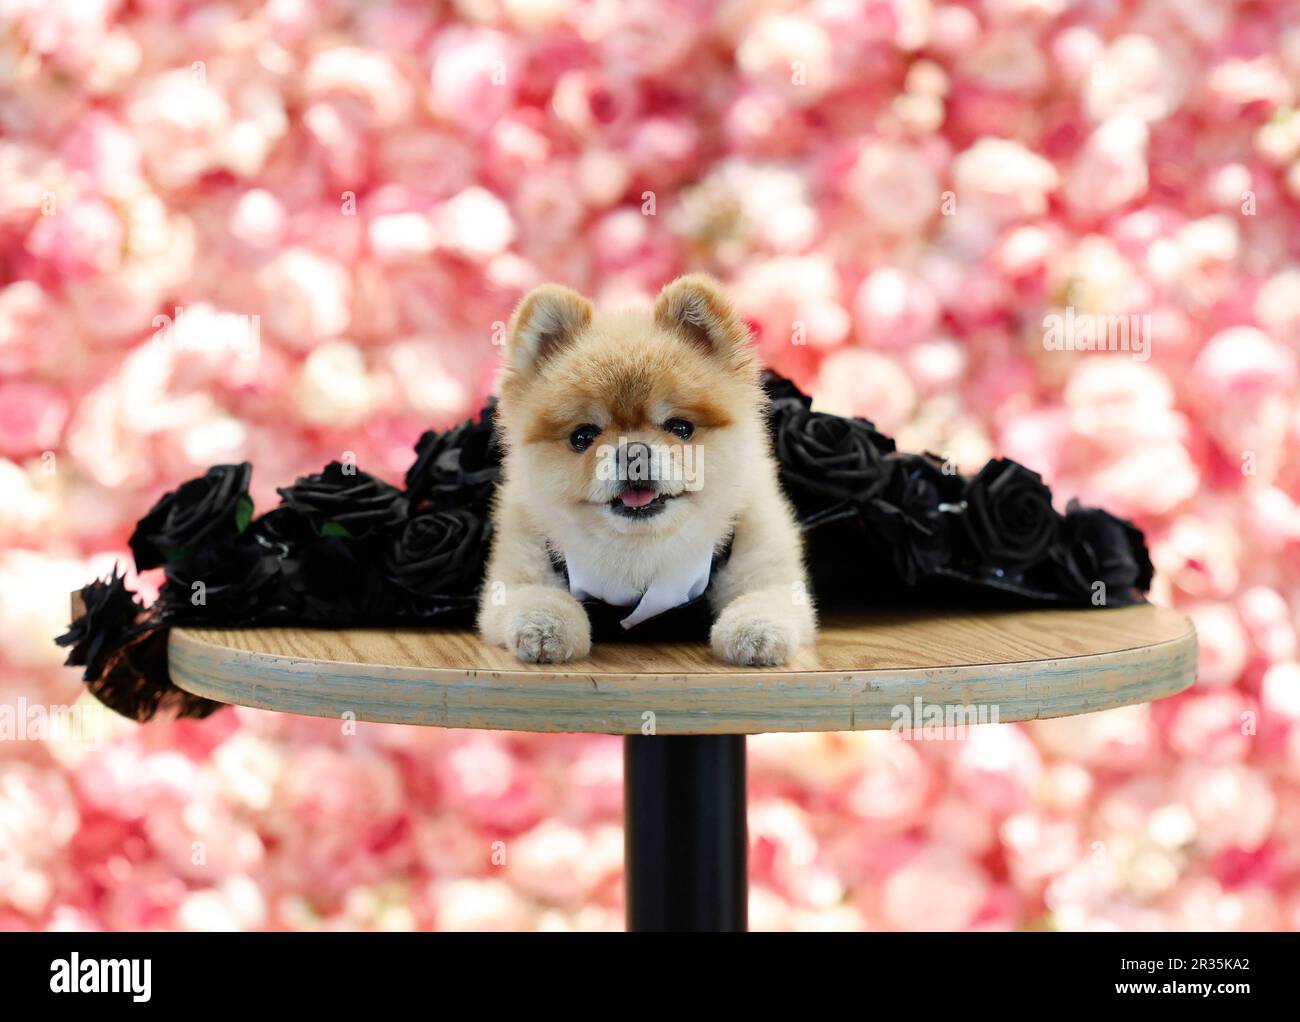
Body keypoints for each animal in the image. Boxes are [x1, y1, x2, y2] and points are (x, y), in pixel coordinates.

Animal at [483, 274, 816, 665]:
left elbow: (764, 599)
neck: (641, 553)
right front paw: (545, 626)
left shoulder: (761, 555)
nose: (633, 453)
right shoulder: (518, 569)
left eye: (680, 427)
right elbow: (536, 596)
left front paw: (755, 631)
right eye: (583, 437)